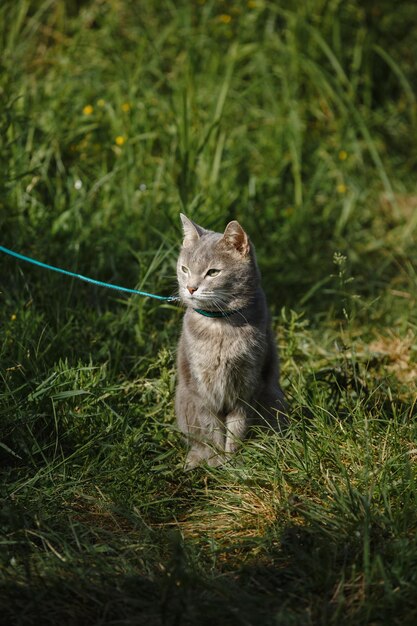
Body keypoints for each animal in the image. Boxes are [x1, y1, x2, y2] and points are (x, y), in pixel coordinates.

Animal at [174, 214, 284, 468]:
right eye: (184, 269)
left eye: (213, 272)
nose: (190, 288)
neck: (221, 326)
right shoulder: (201, 388)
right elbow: (212, 429)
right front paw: (217, 462)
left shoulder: (248, 384)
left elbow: (237, 427)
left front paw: (232, 462)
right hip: (184, 401)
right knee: (197, 441)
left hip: (274, 398)